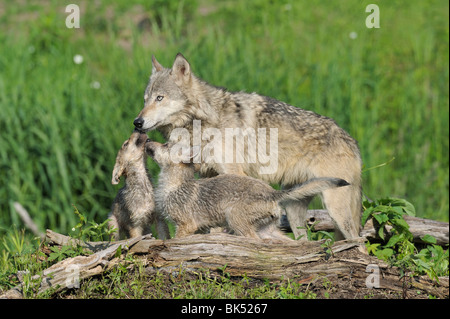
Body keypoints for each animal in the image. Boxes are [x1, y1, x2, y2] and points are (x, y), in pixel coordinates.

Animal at [133, 53, 362, 241]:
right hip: (294, 208)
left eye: (160, 98)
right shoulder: (208, 176)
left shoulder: (233, 172)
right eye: (144, 100)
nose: (137, 122)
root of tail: (352, 141)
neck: (204, 122)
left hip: (336, 210)